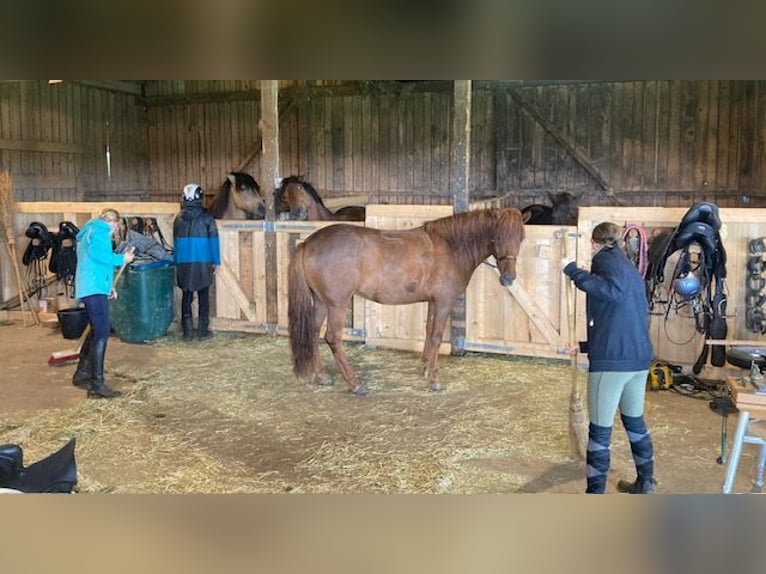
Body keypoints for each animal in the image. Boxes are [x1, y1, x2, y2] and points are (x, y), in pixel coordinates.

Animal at [290, 207, 528, 396]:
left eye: (521, 238)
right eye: (496, 238)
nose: (508, 279)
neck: (451, 247)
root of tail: (309, 242)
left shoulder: (433, 302)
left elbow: (429, 332)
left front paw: (426, 368)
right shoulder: (444, 303)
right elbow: (436, 337)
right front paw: (434, 381)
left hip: (321, 302)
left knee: (313, 332)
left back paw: (322, 376)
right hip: (337, 305)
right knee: (332, 338)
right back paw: (355, 384)